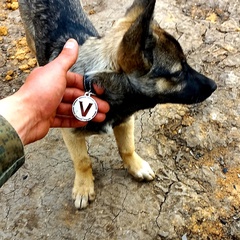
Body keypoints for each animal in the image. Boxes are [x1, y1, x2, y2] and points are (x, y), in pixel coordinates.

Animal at [19, 0, 218, 208]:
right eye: (178, 73)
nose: (214, 85)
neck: (97, 85)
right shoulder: (71, 134)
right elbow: (82, 161)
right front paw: (83, 186)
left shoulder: (125, 121)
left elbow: (127, 148)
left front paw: (136, 166)